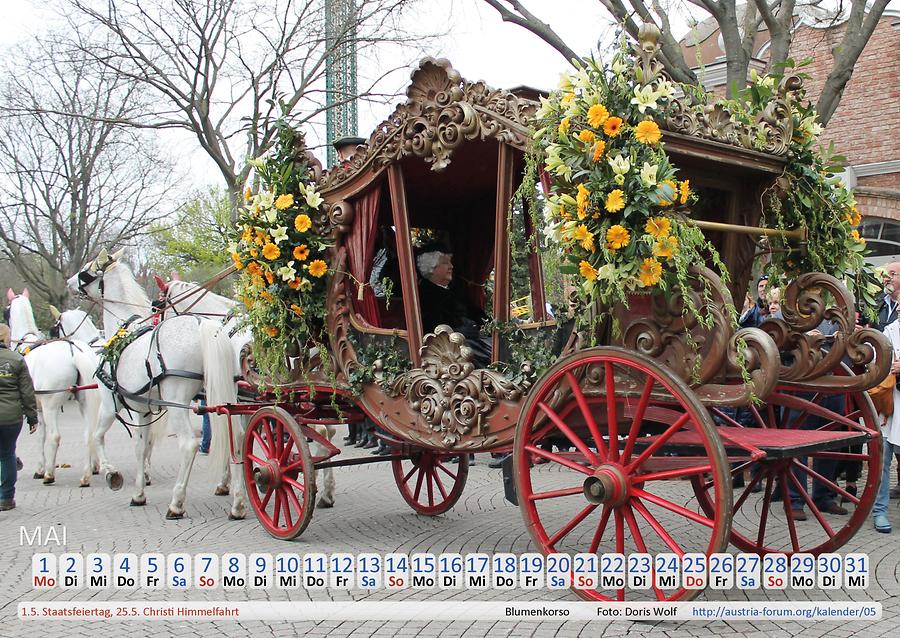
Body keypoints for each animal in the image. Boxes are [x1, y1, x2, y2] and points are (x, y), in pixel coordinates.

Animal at [5, 292, 100, 488]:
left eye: (6, 311)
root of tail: (73, 352)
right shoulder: (38, 409)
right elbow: (40, 435)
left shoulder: (41, 408)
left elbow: (42, 437)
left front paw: (42, 469)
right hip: (84, 403)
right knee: (88, 434)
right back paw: (86, 475)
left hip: (52, 406)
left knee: (55, 436)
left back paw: (50, 475)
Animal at [67, 249, 246, 520]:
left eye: (86, 271)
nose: (69, 283)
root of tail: (203, 325)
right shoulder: (142, 409)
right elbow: (141, 447)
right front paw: (138, 493)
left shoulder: (110, 404)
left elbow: (98, 437)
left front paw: (112, 474)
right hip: (226, 394)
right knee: (235, 437)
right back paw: (238, 502)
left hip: (177, 400)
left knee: (189, 444)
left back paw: (177, 503)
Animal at [160, 280, 336, 510]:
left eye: (159, 307)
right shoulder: (243, 402)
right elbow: (240, 437)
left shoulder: (231, 399)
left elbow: (234, 437)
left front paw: (234, 490)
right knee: (328, 432)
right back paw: (327, 492)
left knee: (321, 433)